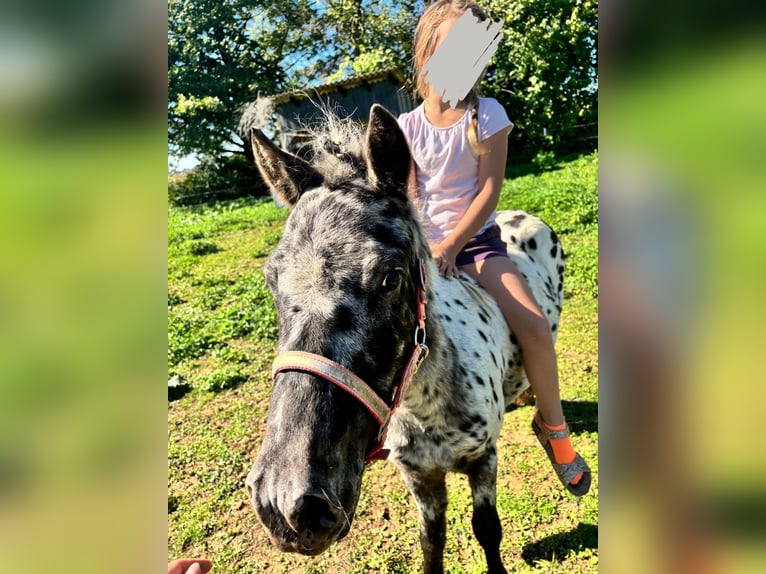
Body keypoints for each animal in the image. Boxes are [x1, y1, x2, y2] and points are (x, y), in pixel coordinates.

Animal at [245, 104, 565, 574]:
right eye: (271, 279)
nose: (288, 504)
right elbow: (431, 541)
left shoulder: (483, 458)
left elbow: (487, 529)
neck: (425, 407)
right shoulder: (419, 475)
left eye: (391, 277)